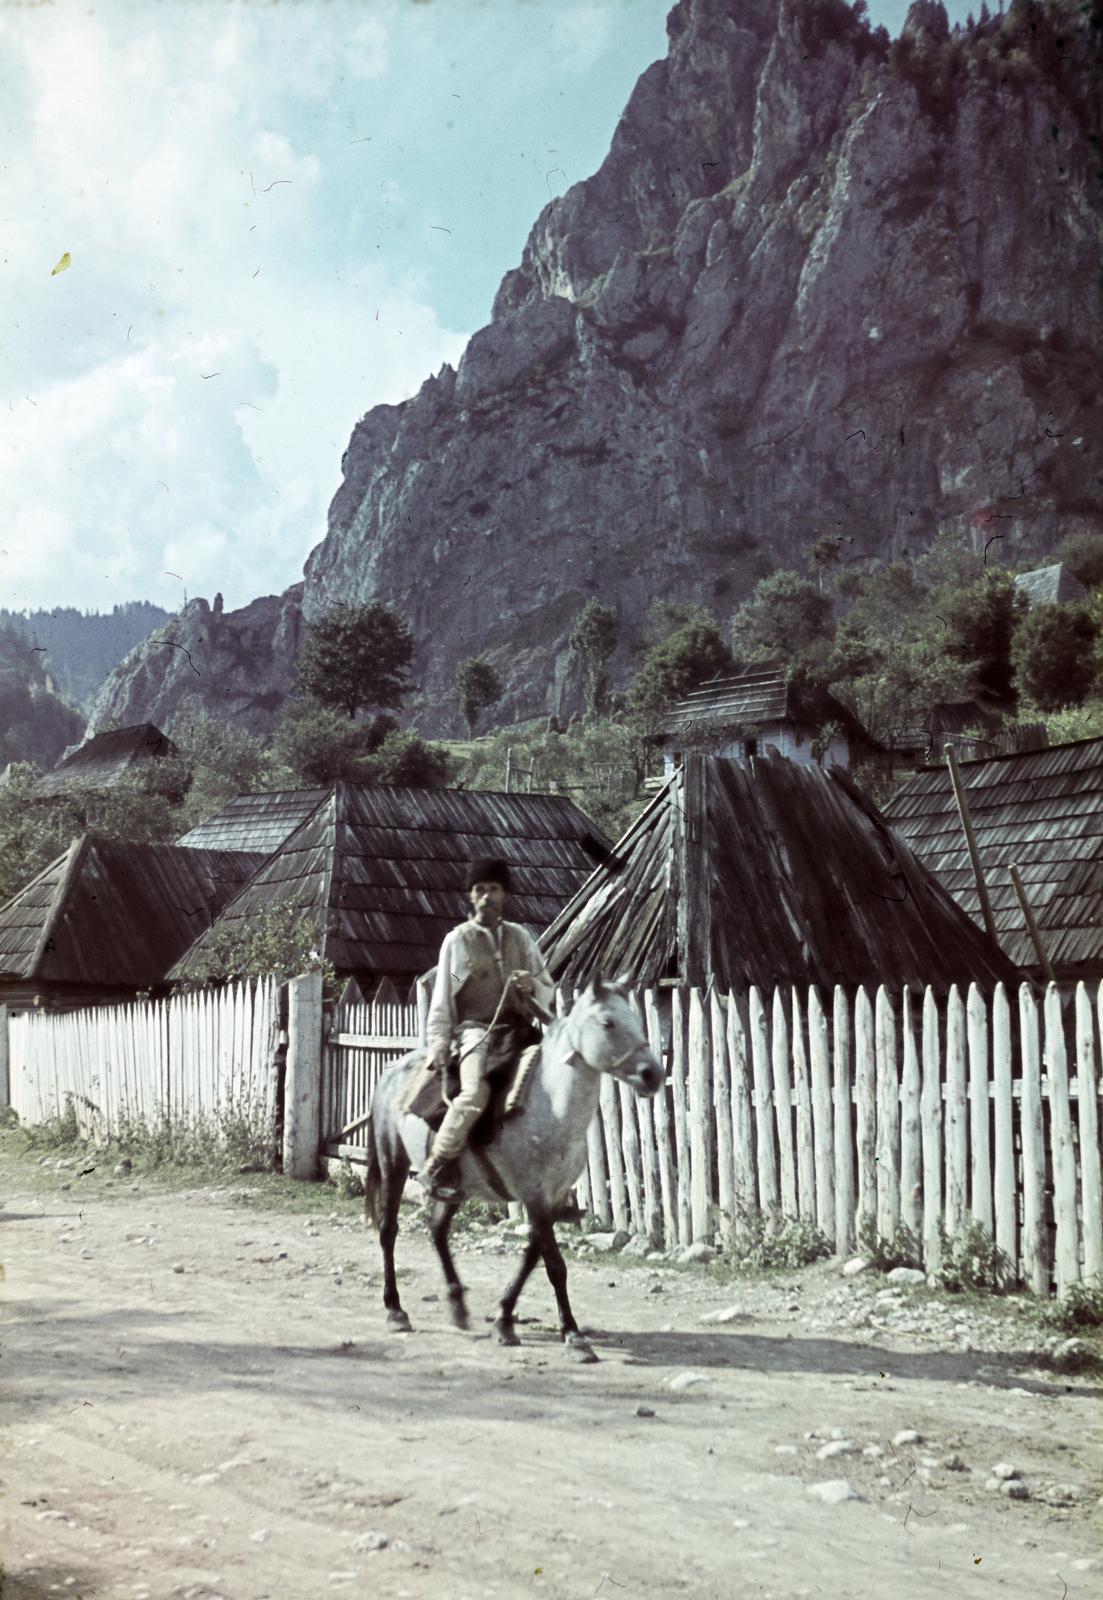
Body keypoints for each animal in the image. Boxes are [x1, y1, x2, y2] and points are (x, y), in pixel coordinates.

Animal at [361, 985, 659, 1363]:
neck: (550, 1107)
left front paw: (504, 1321)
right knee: (388, 1230)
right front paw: (574, 1336)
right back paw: (396, 1310)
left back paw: (457, 1305)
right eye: (608, 1022)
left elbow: (533, 1257)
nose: (653, 1074)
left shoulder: (550, 1199)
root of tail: (392, 1070)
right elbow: (554, 1265)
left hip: (458, 1186)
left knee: (438, 1229)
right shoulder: (534, 1195)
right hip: (392, 1161)